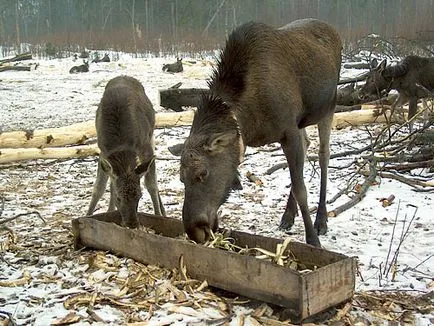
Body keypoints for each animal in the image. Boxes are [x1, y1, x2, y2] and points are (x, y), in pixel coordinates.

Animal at [87, 75, 165, 228]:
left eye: (139, 196)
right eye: (119, 198)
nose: (132, 223)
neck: (121, 146)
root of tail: (124, 76)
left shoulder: (145, 147)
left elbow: (151, 184)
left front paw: (158, 215)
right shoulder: (103, 152)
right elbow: (99, 188)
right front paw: (88, 215)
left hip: (151, 135)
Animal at [173, 19, 342, 246]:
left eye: (203, 173)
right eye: (181, 178)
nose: (195, 230)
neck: (250, 121)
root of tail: (333, 29)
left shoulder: (288, 130)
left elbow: (301, 189)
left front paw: (313, 240)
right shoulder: (292, 128)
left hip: (328, 107)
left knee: (324, 154)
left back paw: (321, 220)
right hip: (303, 121)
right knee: (307, 144)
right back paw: (288, 215)